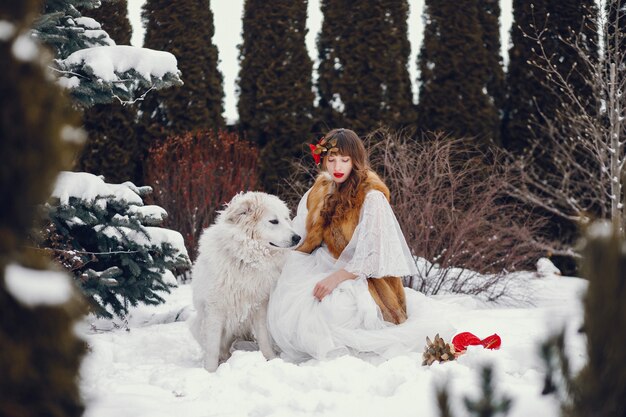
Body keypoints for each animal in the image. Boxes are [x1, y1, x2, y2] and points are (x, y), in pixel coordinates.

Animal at [188, 192, 300, 370]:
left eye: (286, 219)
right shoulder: (214, 310)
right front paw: (210, 372)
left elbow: (263, 338)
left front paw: (271, 359)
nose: (298, 238)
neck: (246, 259)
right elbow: (212, 349)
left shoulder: (260, 305)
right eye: (274, 221)